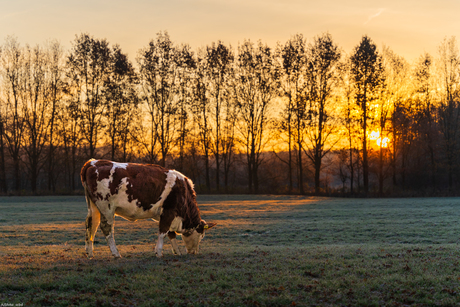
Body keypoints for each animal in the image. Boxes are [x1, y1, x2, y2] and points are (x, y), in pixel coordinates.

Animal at [80, 160, 217, 258]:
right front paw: (159, 252)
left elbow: (170, 234)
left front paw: (177, 252)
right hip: (106, 207)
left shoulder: (167, 215)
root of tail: (93, 163)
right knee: (106, 227)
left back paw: (89, 252)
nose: (194, 252)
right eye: (202, 236)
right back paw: (116, 253)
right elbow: (163, 232)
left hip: (94, 207)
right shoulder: (169, 211)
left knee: (91, 224)